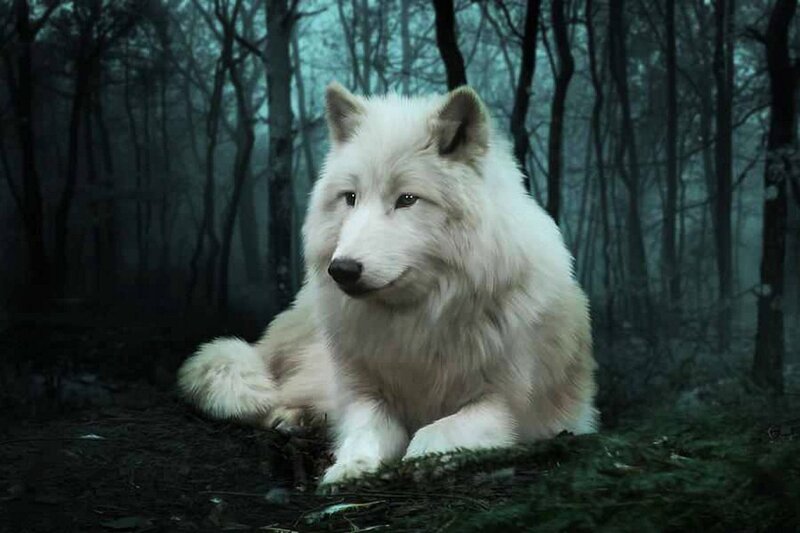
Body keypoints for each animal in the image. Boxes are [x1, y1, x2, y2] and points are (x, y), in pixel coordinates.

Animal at [177, 82, 598, 485]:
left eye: (407, 199)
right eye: (350, 197)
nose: (342, 269)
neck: (418, 322)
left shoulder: (511, 407)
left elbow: (438, 429)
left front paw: (424, 458)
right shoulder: (363, 394)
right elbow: (366, 429)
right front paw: (350, 467)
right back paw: (292, 418)